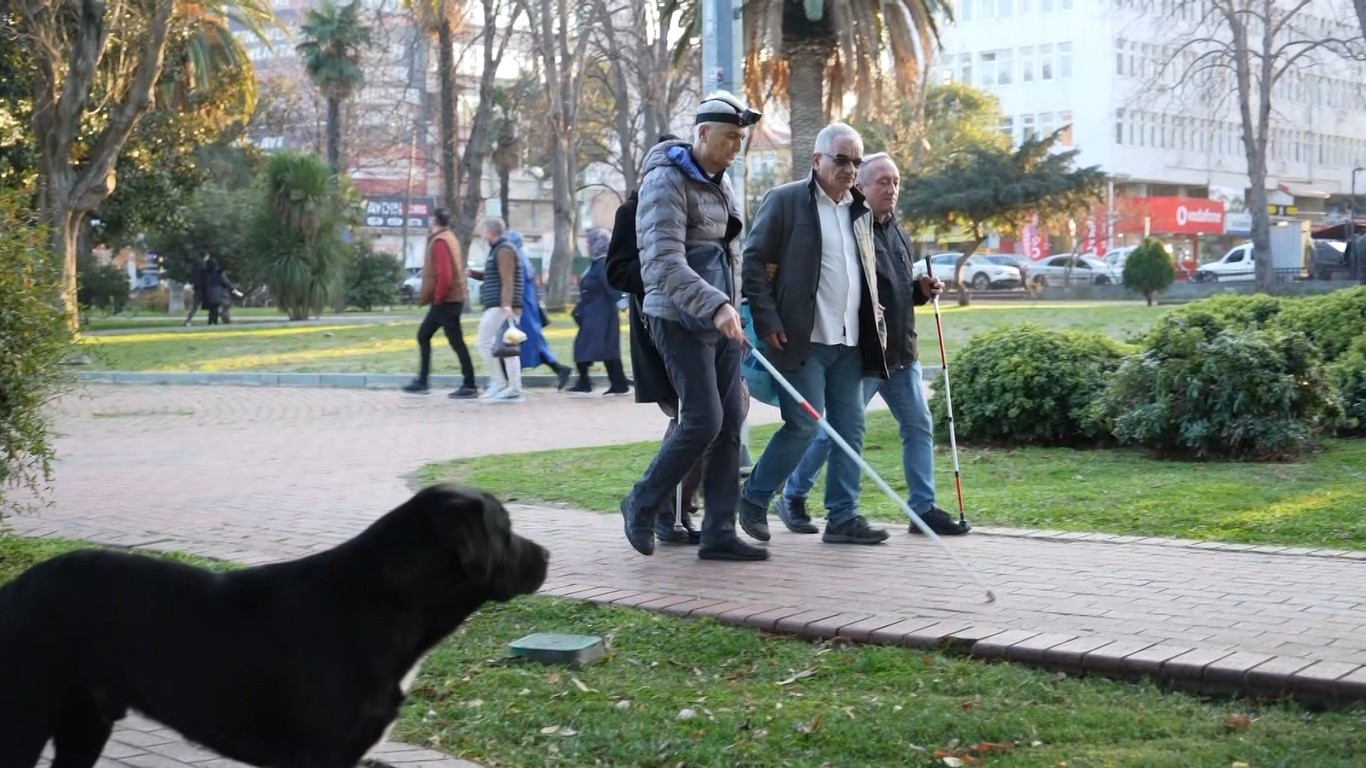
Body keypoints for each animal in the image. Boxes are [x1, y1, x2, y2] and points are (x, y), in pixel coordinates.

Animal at [0, 483, 546, 765]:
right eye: (506, 529)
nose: (546, 555)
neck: (383, 604)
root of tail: (14, 588)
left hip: (85, 722)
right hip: (24, 718)